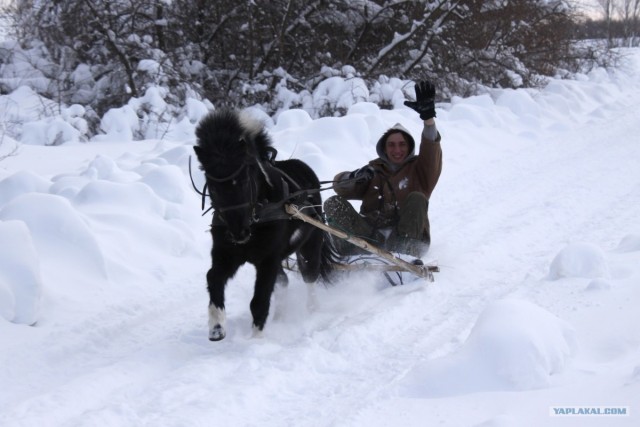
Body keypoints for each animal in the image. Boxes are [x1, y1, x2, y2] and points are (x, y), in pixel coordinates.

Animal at [192, 109, 338, 342]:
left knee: (309, 276)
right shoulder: (227, 255)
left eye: (243, 180)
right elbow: (213, 277)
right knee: (284, 282)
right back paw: (280, 318)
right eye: (212, 186)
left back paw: (312, 311)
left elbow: (259, 300)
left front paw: (256, 340)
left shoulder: (268, 260)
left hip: (310, 245)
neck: (257, 214)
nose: (238, 233)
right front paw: (216, 327)